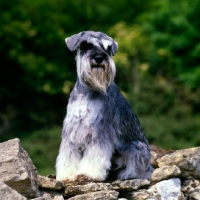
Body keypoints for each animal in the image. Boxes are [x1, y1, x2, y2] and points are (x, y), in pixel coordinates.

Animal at [55, 30, 152, 181]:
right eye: (85, 45)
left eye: (107, 48)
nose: (99, 58)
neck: (88, 92)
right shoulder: (71, 130)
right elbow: (68, 155)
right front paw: (67, 175)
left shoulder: (100, 129)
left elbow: (96, 154)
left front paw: (88, 173)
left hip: (138, 147)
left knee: (138, 170)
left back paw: (127, 175)